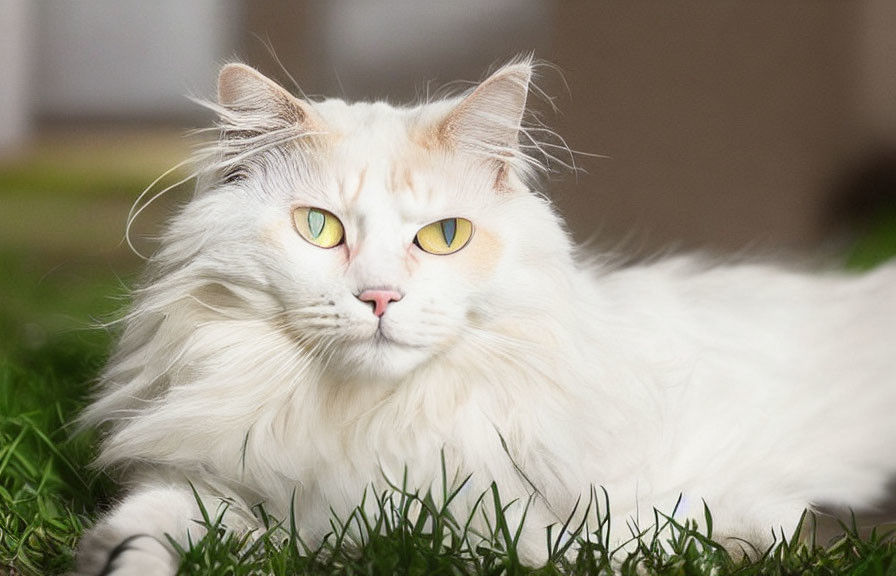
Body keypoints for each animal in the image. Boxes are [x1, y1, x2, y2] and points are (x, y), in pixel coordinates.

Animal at [75, 59, 896, 576]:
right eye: (319, 228)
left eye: (445, 236)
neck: (370, 425)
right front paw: (113, 559)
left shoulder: (520, 522)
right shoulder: (213, 485)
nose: (380, 298)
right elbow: (148, 523)